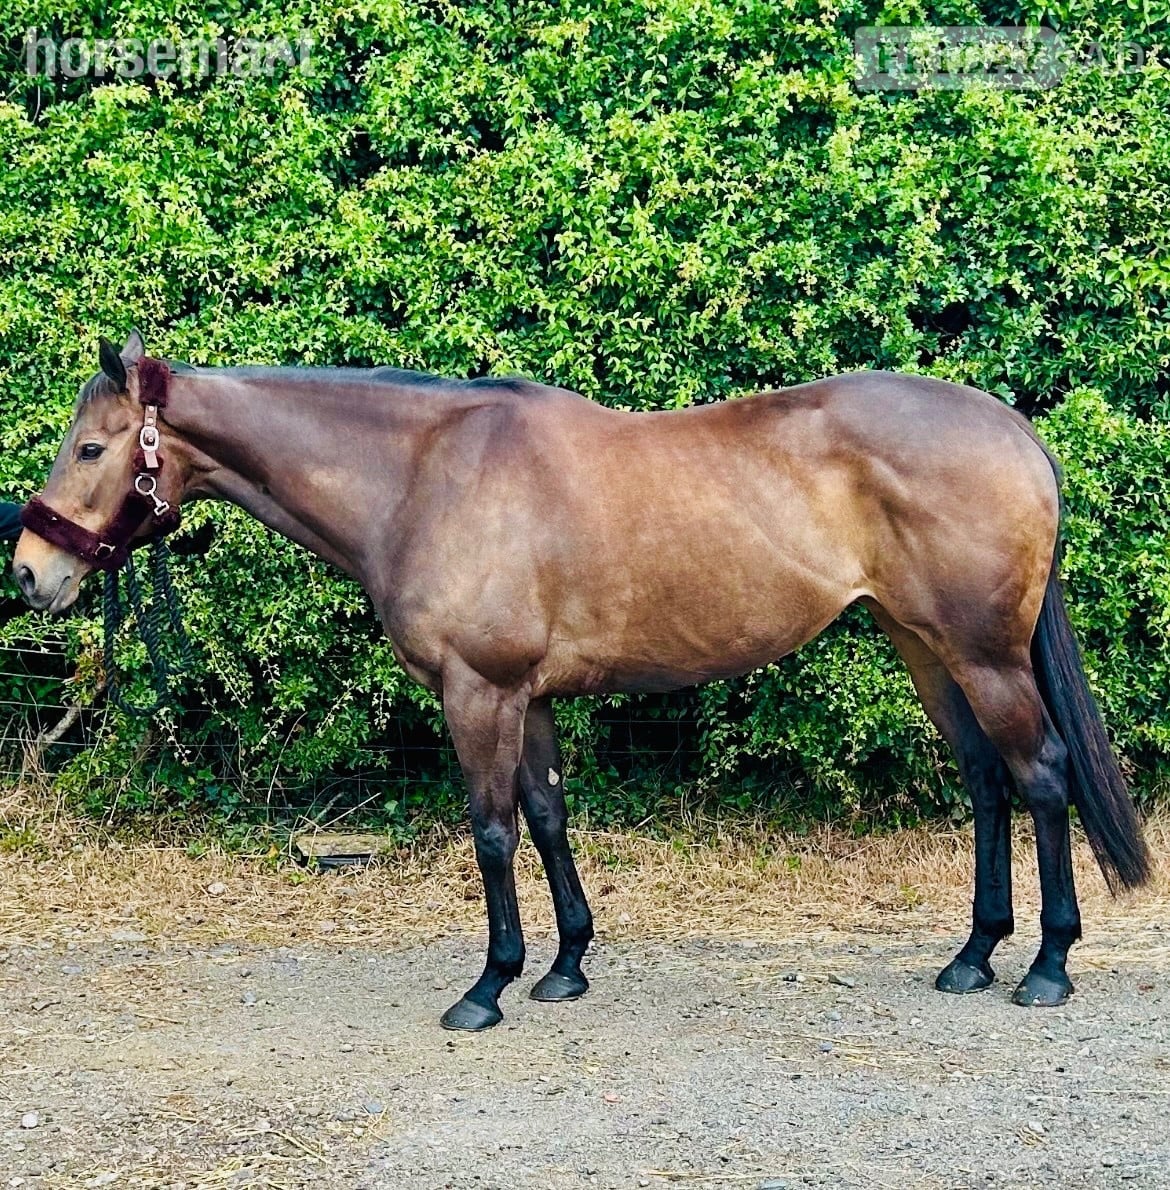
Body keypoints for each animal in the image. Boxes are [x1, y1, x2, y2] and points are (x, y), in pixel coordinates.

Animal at [13, 330, 1151, 1031]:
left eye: (92, 446)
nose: (29, 571)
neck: (421, 475)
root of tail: (1016, 432)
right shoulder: (533, 696)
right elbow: (552, 818)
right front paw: (565, 966)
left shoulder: (478, 691)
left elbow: (491, 831)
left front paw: (489, 984)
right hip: (924, 646)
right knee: (987, 782)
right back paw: (973, 954)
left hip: (982, 655)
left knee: (1041, 776)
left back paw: (1046, 966)